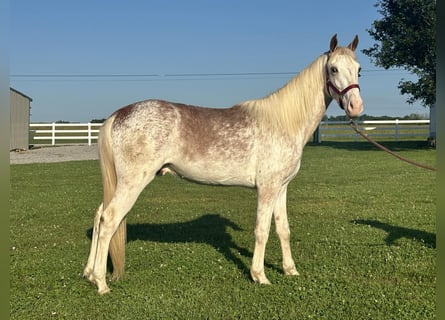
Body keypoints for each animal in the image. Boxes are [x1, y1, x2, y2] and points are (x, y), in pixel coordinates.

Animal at [84, 33, 364, 294]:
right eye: (333, 69)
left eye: (359, 69)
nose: (356, 107)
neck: (283, 122)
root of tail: (118, 115)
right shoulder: (267, 189)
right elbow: (262, 230)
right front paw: (260, 276)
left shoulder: (281, 188)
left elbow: (283, 229)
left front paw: (290, 270)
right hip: (132, 182)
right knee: (109, 219)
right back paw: (101, 283)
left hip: (120, 183)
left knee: (99, 215)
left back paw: (88, 273)